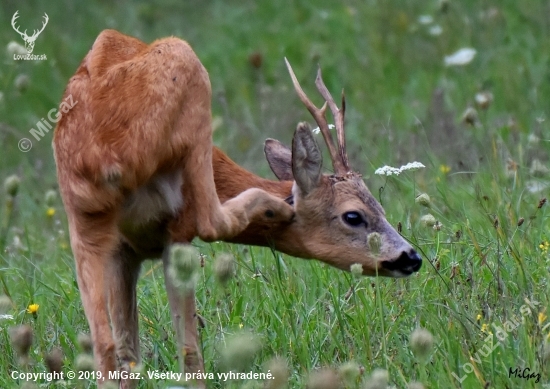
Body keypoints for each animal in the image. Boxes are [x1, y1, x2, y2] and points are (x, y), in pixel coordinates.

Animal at [52, 28, 422, 386]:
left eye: (381, 207)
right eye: (353, 216)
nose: (412, 257)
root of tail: (101, 154)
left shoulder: (124, 252)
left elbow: (128, 351)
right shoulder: (172, 235)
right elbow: (187, 350)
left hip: (83, 223)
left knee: (105, 347)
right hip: (189, 71)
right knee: (210, 226)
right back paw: (274, 206)